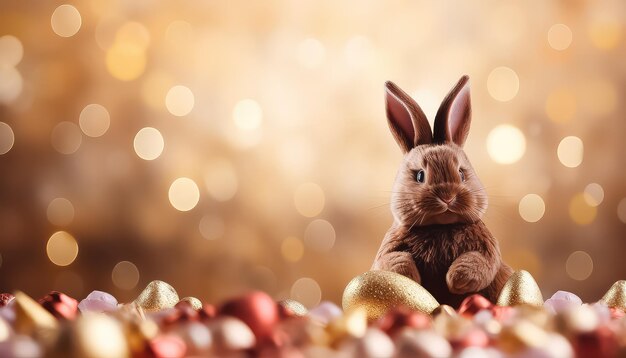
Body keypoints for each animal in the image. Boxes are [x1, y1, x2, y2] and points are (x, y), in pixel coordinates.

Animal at [370, 75, 512, 308]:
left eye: (462, 174)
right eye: (420, 176)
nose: (447, 197)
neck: (440, 227)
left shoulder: (487, 248)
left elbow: (481, 262)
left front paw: (457, 280)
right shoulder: (387, 250)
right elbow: (393, 262)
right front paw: (412, 279)